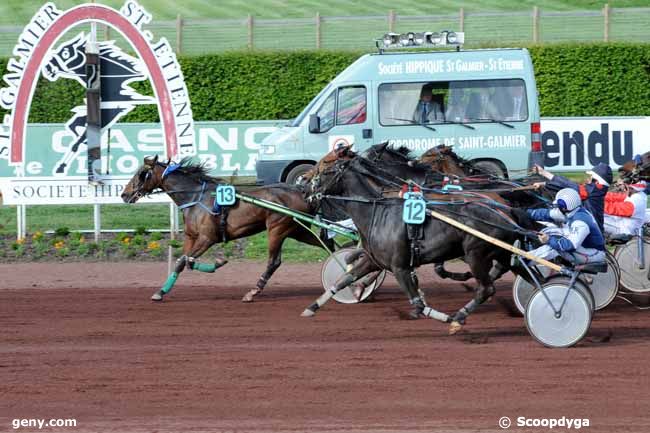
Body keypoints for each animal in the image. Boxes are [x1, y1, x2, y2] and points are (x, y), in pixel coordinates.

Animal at [121, 155, 332, 300]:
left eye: (142, 174)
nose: (124, 194)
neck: (195, 197)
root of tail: (301, 191)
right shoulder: (191, 237)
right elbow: (183, 261)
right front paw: (161, 291)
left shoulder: (207, 238)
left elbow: (185, 261)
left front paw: (218, 262)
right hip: (298, 230)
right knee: (329, 246)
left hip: (277, 229)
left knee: (274, 262)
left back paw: (253, 291)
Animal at [302, 155, 540, 334]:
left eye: (325, 169)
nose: (304, 188)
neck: (376, 211)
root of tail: (507, 210)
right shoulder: (375, 261)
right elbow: (344, 279)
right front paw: (311, 308)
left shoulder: (400, 267)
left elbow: (418, 303)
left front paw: (443, 317)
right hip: (504, 254)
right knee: (533, 278)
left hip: (477, 254)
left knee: (487, 288)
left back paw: (459, 316)